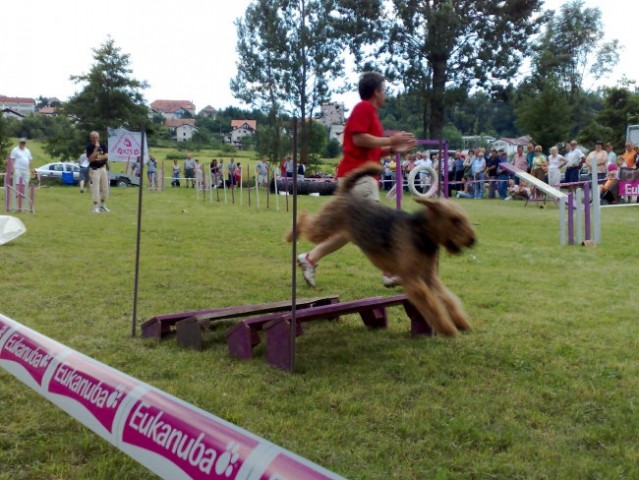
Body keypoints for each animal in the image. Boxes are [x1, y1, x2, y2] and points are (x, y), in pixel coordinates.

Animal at [288, 163, 478, 336]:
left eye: (464, 218)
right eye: (455, 220)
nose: (473, 240)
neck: (421, 231)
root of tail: (347, 193)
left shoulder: (429, 277)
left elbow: (448, 299)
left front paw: (462, 323)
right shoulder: (414, 280)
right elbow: (433, 305)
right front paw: (448, 329)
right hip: (324, 226)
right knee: (304, 218)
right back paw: (291, 235)